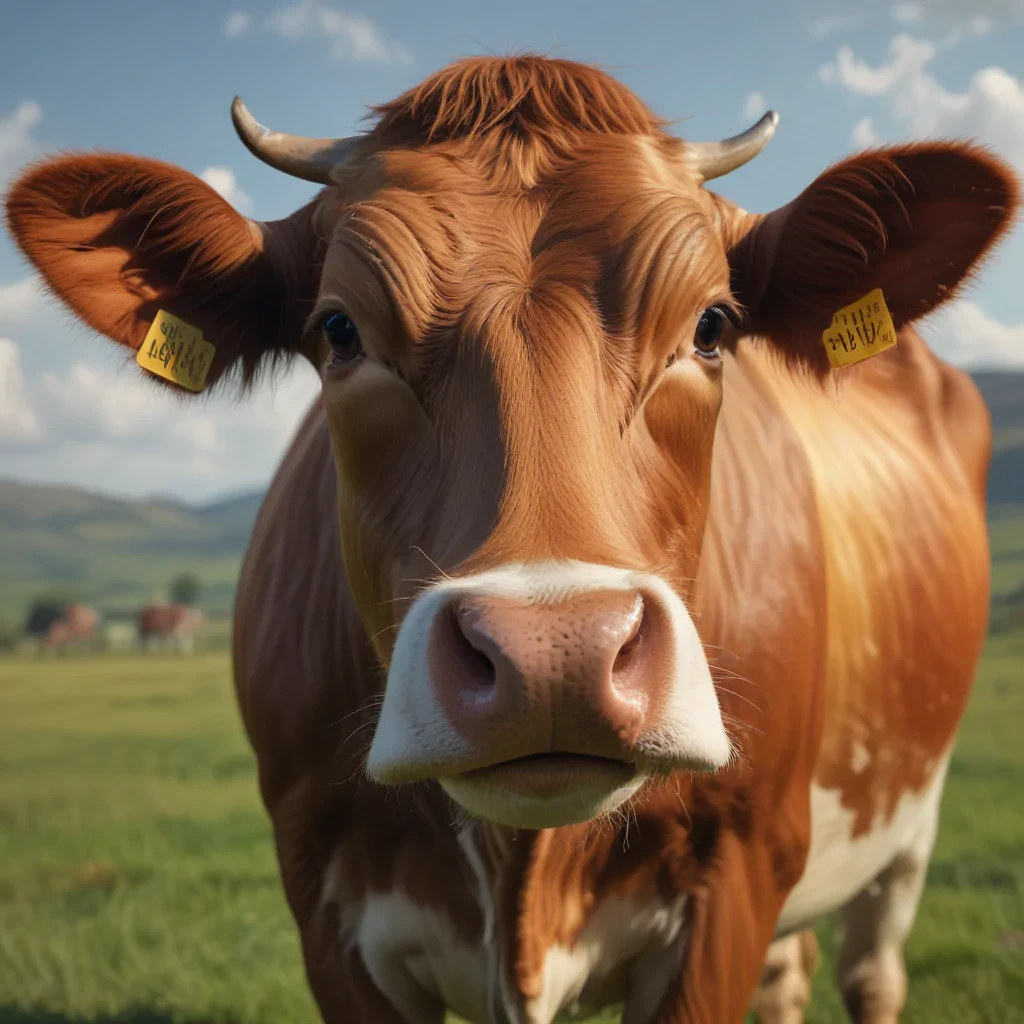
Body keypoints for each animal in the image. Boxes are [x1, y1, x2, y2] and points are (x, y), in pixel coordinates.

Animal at [5, 55, 1018, 1024]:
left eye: (712, 326)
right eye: (338, 330)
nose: (554, 655)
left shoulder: (736, 874)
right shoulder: (323, 905)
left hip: (903, 831)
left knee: (872, 976)